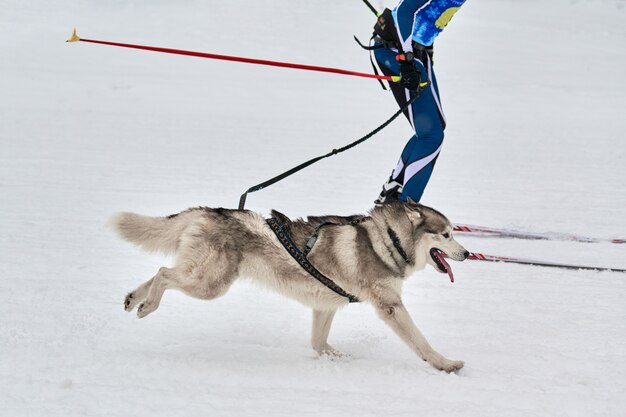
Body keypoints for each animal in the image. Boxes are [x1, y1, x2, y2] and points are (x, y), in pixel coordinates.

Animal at [109, 200, 466, 372]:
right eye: (446, 234)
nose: (465, 254)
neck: (388, 240)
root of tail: (210, 211)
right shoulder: (391, 307)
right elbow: (421, 342)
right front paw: (445, 364)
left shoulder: (325, 305)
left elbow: (319, 343)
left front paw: (337, 358)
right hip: (210, 285)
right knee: (163, 273)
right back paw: (148, 305)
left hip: (202, 276)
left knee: (161, 271)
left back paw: (133, 299)